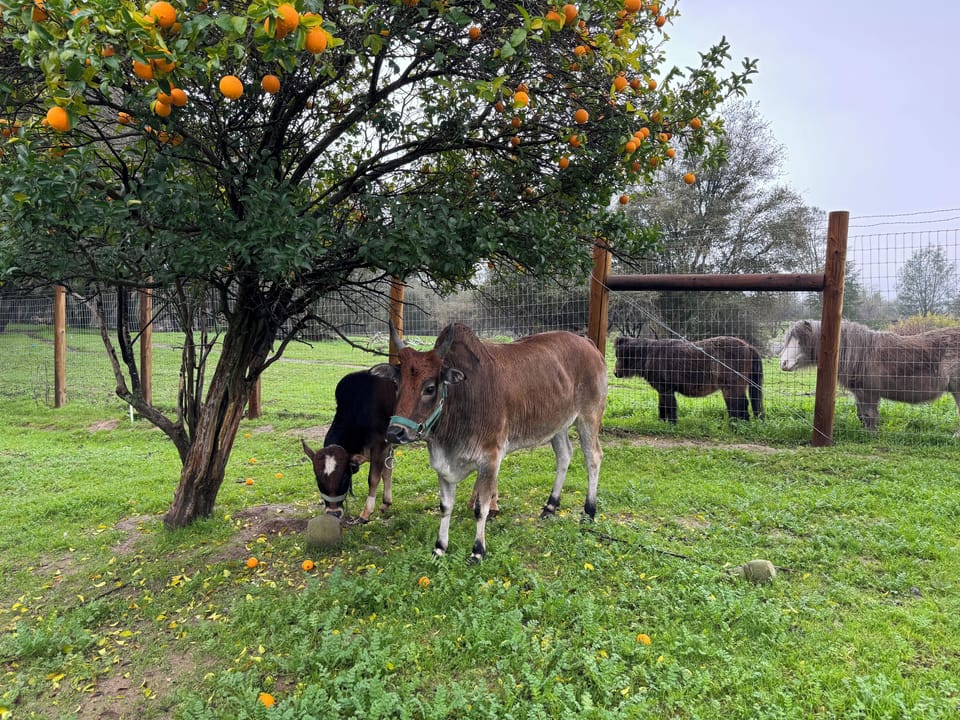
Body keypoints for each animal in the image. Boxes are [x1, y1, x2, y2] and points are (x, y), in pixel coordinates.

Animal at [301, 370, 396, 524]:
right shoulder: (388, 446)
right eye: (318, 479)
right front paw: (386, 503)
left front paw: (365, 513)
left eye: (345, 477)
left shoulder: (381, 444)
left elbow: (374, 478)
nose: (333, 513)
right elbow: (387, 472)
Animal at [371, 322, 607, 563]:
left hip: (589, 416)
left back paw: (589, 512)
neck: (462, 398)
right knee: (564, 456)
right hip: (558, 425)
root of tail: (588, 343)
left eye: (429, 388)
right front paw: (440, 547)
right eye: (397, 385)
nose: (395, 432)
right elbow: (445, 506)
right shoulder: (443, 464)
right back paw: (550, 506)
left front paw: (477, 550)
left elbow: (481, 507)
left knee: (593, 458)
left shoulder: (490, 459)